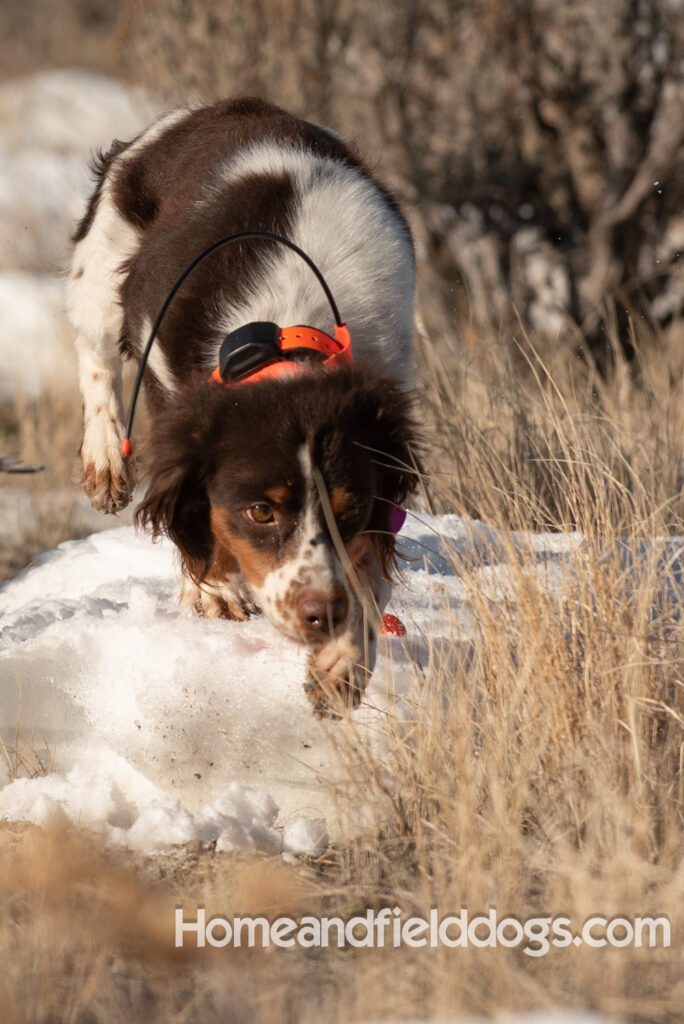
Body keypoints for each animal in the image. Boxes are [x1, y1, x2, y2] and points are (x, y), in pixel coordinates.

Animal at [69, 99, 421, 716]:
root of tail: (210, 109)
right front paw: (213, 591)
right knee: (95, 356)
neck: (289, 327)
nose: (318, 613)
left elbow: (369, 571)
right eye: (260, 512)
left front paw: (340, 664)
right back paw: (107, 462)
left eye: (349, 507)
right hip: (103, 261)